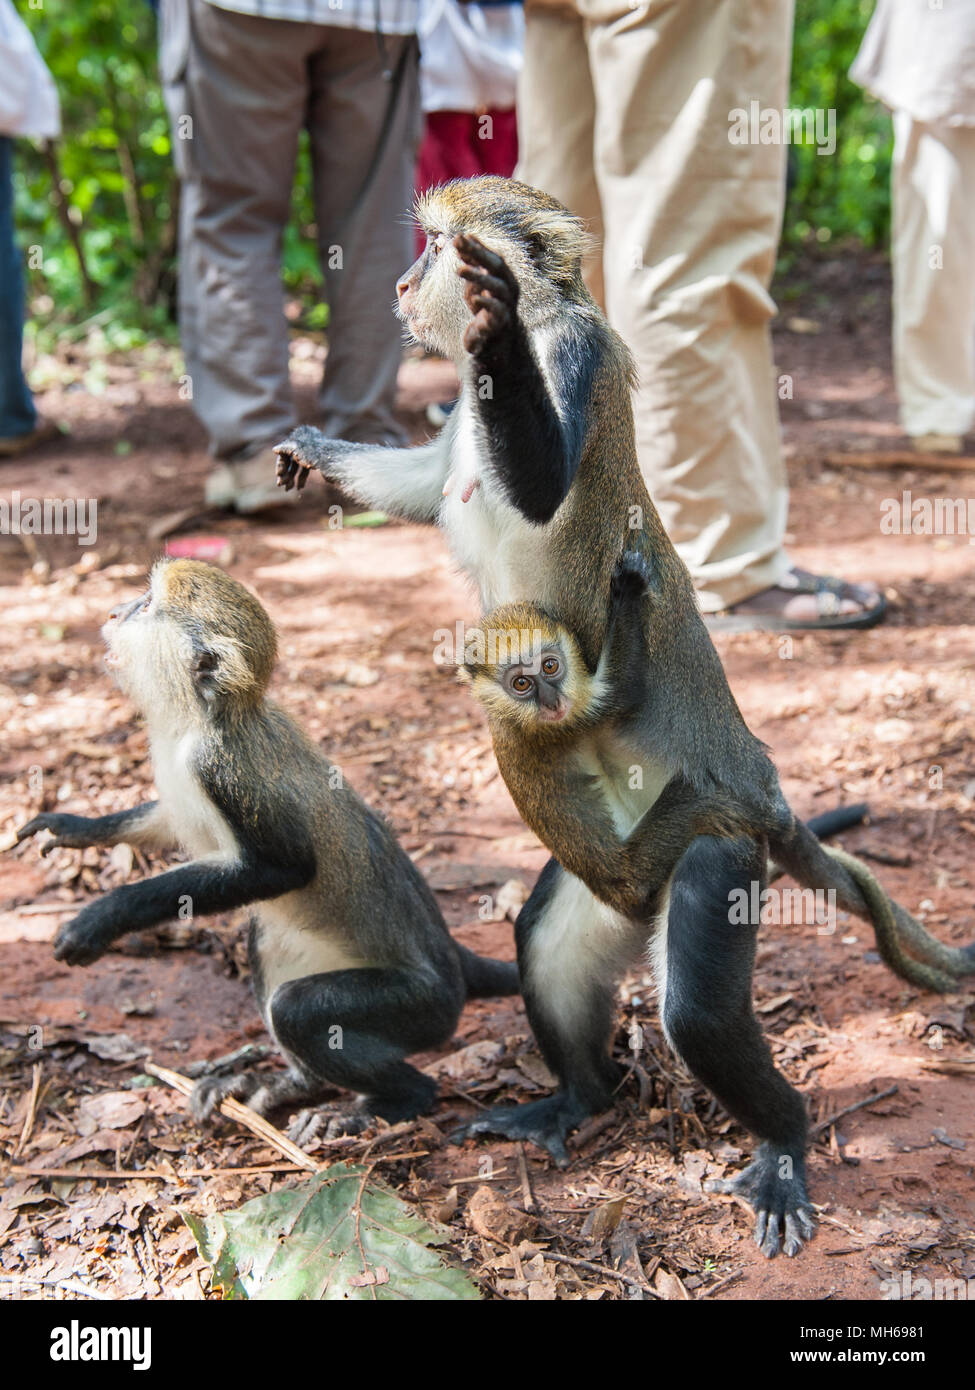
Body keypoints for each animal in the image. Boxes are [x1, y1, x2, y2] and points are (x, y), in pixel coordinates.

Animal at [15, 558, 517, 1134]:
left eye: (145, 604)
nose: (114, 611)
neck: (200, 719)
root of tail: (456, 964)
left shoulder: (221, 770)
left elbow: (282, 870)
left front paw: (99, 918)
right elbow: (164, 821)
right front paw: (75, 826)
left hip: (420, 1008)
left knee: (298, 1009)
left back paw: (398, 1098)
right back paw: (294, 1084)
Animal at [274, 179, 973, 1256]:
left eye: (434, 245)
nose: (399, 281)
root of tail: (764, 790)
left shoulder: (573, 357)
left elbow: (541, 482)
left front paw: (491, 328)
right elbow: (425, 485)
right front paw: (311, 445)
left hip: (714, 849)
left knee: (699, 1015)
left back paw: (783, 1143)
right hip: (618, 877)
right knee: (547, 942)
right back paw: (576, 1099)